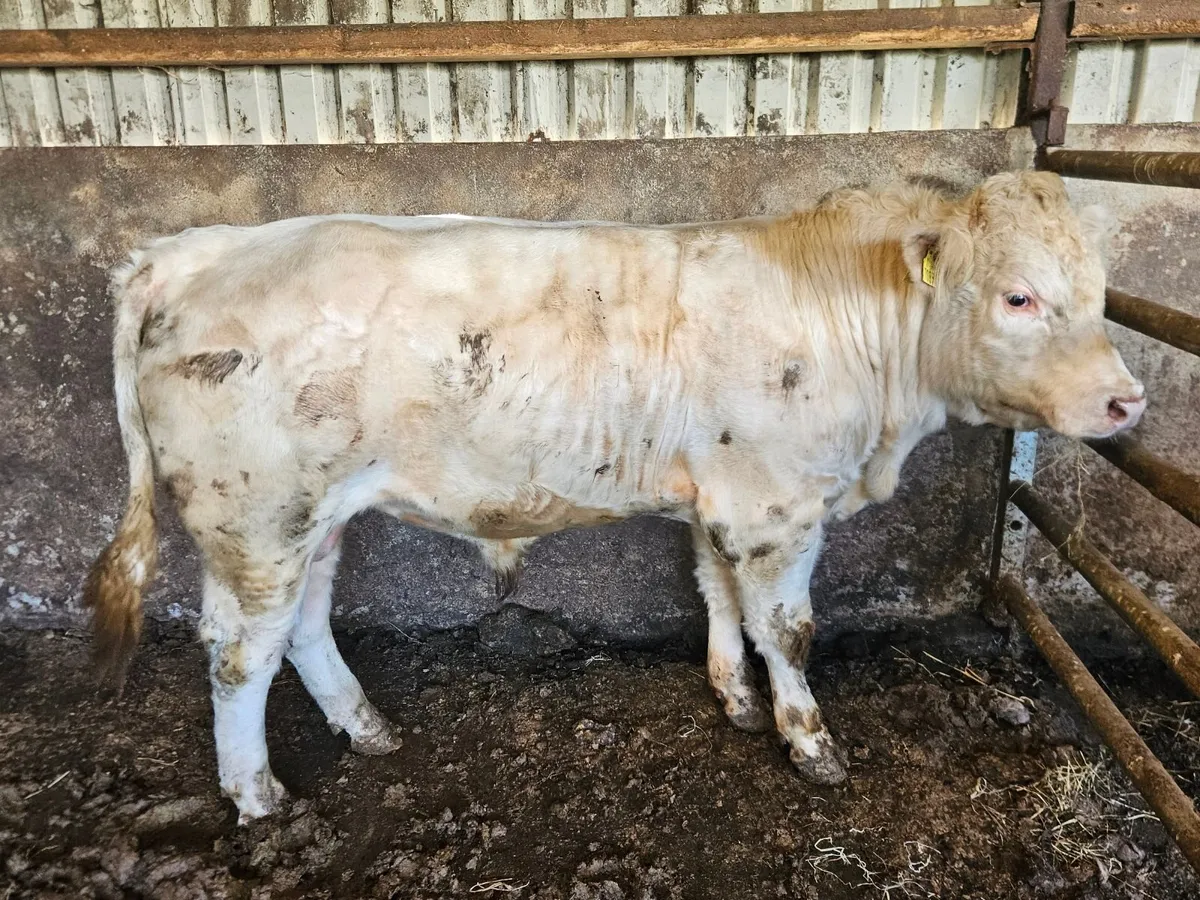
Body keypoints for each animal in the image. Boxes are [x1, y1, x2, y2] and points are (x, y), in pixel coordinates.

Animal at [85, 171, 1145, 823]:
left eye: (1101, 293)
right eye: (1017, 296)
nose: (1127, 400)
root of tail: (189, 252)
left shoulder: (725, 497)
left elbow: (719, 597)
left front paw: (735, 699)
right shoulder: (776, 506)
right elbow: (789, 627)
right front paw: (809, 740)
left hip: (315, 517)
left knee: (301, 628)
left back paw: (368, 728)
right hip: (255, 519)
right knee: (238, 654)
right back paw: (256, 795)